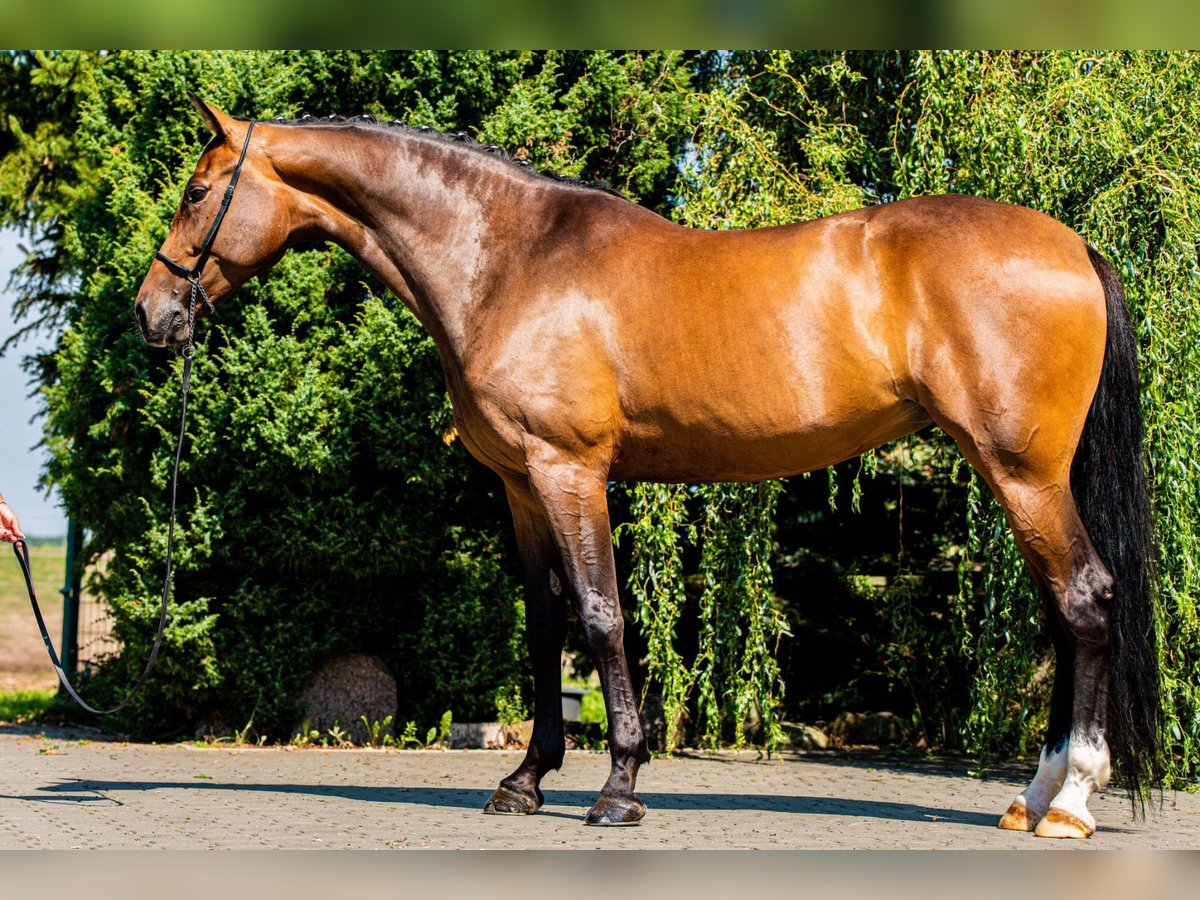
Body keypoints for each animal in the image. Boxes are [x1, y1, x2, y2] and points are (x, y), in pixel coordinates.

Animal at [136, 97, 1156, 840]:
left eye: (197, 189)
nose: (153, 314)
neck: (509, 260)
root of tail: (1072, 245)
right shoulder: (520, 487)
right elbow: (545, 628)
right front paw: (525, 780)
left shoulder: (571, 472)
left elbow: (600, 617)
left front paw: (618, 786)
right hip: (1019, 476)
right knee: (1062, 614)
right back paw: (1032, 798)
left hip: (1023, 472)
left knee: (1085, 601)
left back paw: (1071, 803)